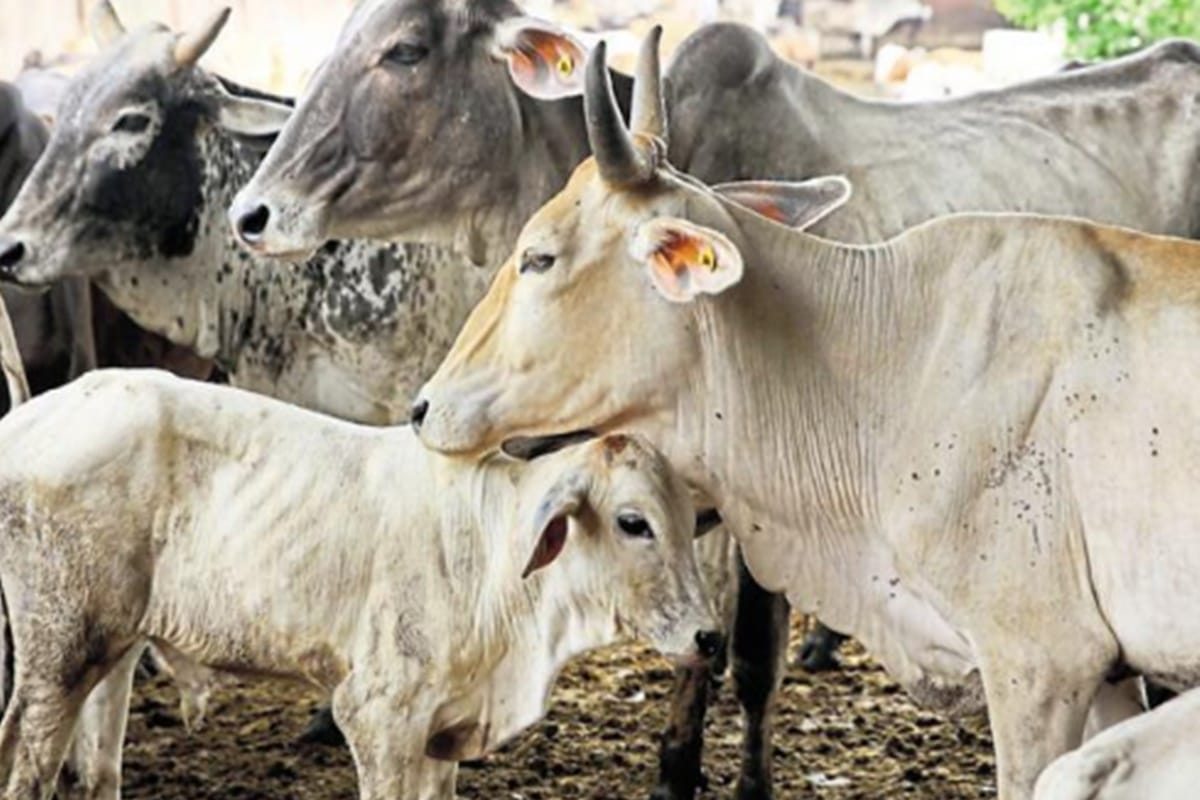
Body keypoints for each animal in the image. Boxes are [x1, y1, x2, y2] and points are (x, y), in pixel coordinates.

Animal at [0, 368, 721, 800]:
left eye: (691, 524)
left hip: (111, 649)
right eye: (633, 522)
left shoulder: (442, 733)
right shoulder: (378, 715)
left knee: (93, 772)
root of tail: (29, 419)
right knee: (27, 768)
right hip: (60, 650)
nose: (709, 638)